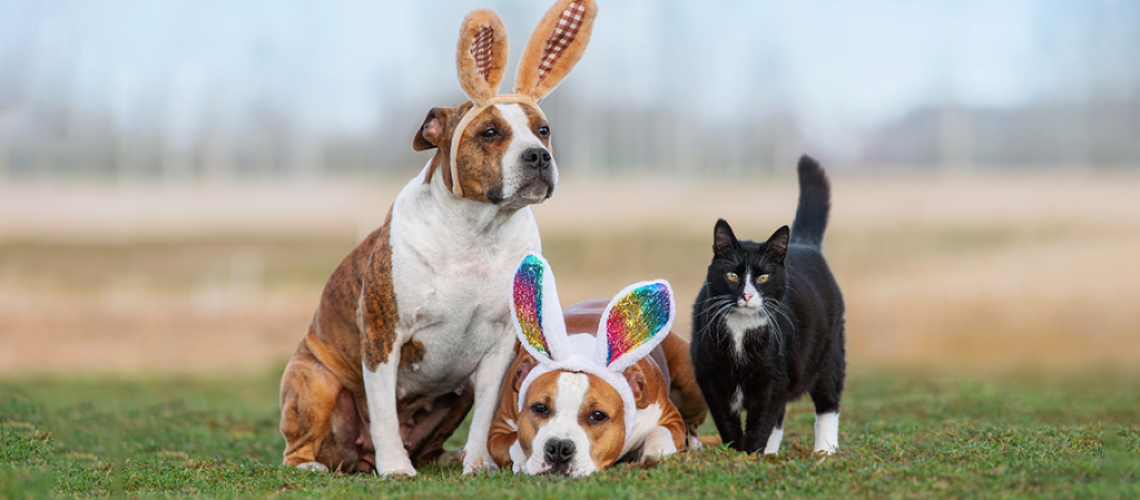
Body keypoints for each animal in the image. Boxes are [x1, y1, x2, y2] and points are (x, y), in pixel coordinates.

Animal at [278, 0, 597, 478]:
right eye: (489, 132)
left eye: (542, 130)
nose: (538, 156)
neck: (477, 233)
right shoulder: (383, 337)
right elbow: (384, 415)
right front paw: (395, 468)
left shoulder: (499, 348)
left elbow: (485, 414)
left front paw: (479, 462)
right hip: (316, 381)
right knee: (302, 445)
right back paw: (315, 464)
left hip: (456, 392)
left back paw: (445, 457)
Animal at [485, 253, 706, 478]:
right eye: (540, 408)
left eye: (598, 416)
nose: (559, 447)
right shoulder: (498, 431)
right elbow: (514, 442)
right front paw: (523, 460)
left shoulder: (670, 419)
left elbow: (660, 436)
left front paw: (652, 458)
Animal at [684, 157, 848, 457]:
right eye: (732, 275)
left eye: (762, 277)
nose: (747, 296)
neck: (741, 328)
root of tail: (803, 243)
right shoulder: (710, 376)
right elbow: (727, 422)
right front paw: (739, 452)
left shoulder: (773, 377)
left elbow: (762, 420)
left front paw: (749, 454)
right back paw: (771, 454)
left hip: (829, 350)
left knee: (828, 402)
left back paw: (825, 451)